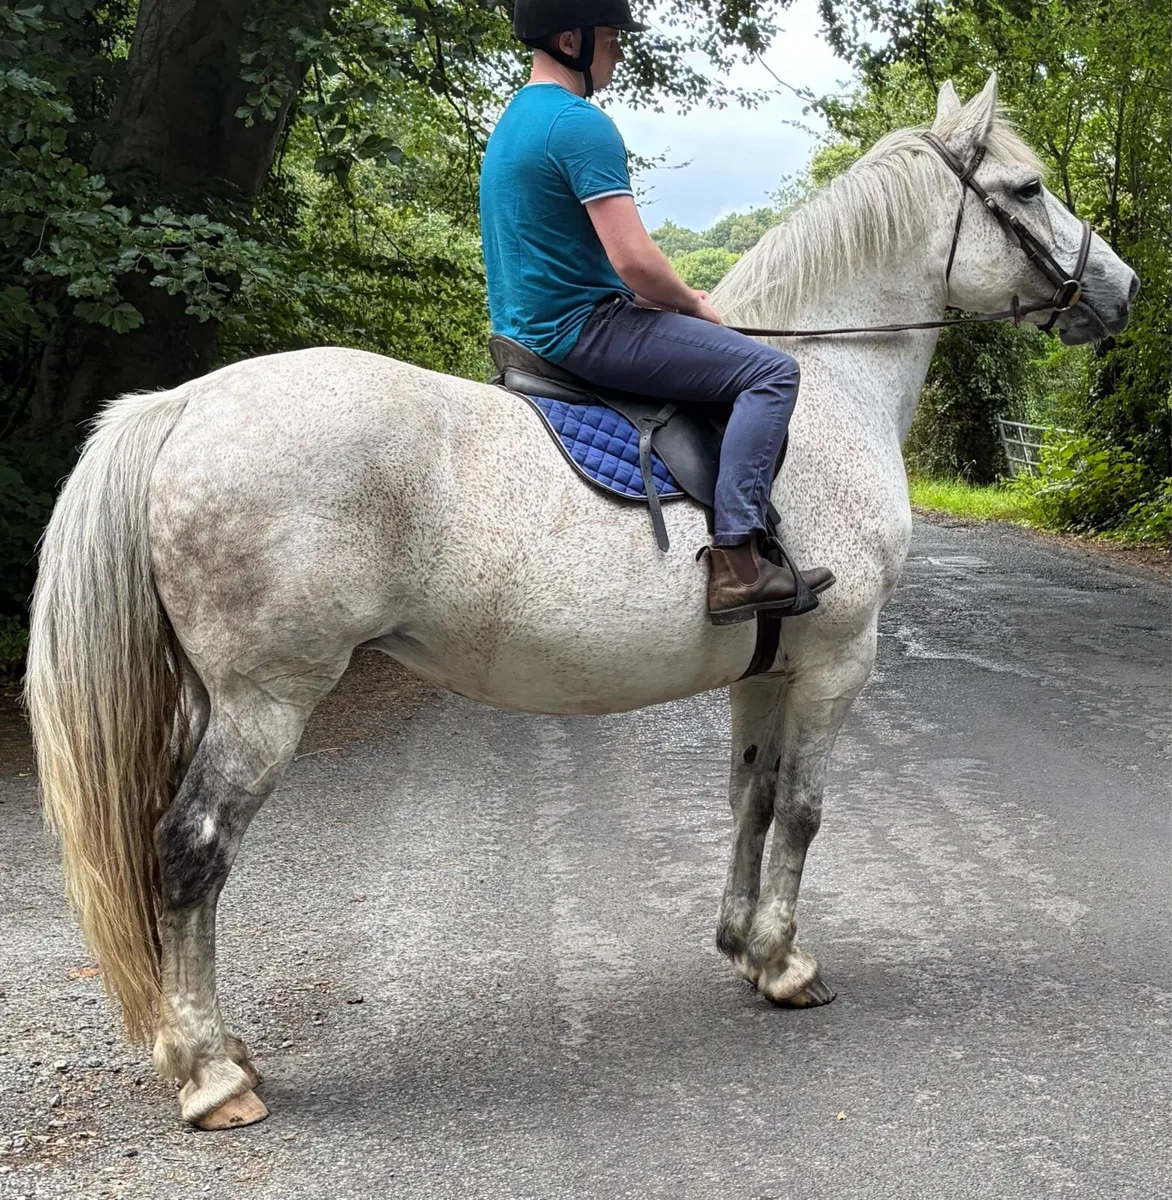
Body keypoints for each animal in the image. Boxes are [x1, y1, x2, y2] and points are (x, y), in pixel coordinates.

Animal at [25, 74, 1137, 1129]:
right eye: (1026, 188)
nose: (1123, 291)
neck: (826, 384)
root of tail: (183, 406)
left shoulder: (767, 666)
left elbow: (752, 798)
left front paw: (741, 945)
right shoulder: (835, 659)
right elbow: (805, 809)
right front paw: (786, 964)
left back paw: (216, 1051)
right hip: (266, 701)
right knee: (192, 852)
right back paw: (211, 1076)